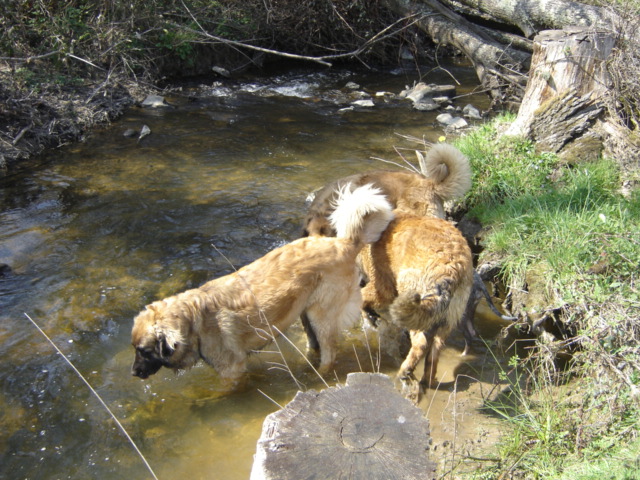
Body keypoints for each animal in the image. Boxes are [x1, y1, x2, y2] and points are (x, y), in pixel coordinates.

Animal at [130, 184, 392, 382]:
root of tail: (343, 242)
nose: (133, 372)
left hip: (322, 315)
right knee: (315, 345)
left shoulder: (232, 370)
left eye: (144, 351)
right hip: (305, 313)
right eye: (136, 349)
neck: (194, 322)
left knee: (330, 354)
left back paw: (318, 375)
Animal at [360, 212, 476, 400]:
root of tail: (450, 271)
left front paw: (369, 317)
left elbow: (362, 297)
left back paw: (404, 371)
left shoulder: (382, 287)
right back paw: (428, 379)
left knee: (420, 343)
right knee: (435, 350)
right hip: (449, 318)